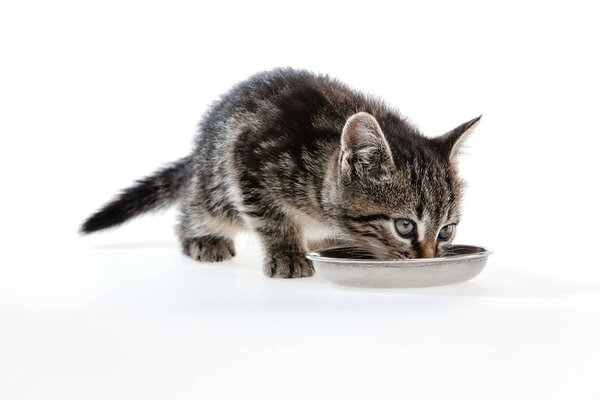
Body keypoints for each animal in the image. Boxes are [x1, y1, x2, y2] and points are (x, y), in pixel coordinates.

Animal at [82, 68, 480, 278]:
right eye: (405, 226)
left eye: (446, 230)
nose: (427, 258)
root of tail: (200, 151)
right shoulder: (247, 164)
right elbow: (272, 220)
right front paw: (287, 254)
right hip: (216, 186)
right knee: (196, 208)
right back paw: (201, 237)